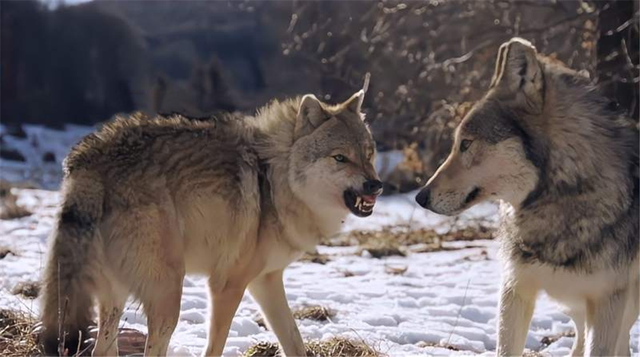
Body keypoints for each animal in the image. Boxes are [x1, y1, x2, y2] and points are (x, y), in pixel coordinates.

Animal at [40, 90, 382, 354]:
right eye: (340, 158)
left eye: (369, 154)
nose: (375, 185)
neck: (275, 179)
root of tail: (91, 158)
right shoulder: (227, 284)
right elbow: (215, 346)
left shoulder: (265, 281)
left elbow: (294, 342)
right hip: (168, 298)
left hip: (115, 298)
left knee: (102, 349)